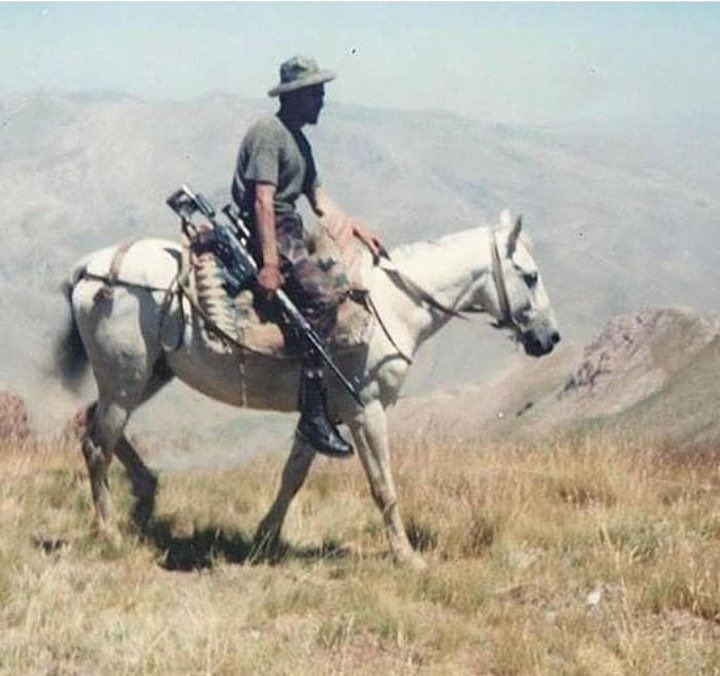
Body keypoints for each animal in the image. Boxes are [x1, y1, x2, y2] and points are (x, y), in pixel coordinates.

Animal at [56, 210, 564, 572]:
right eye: (530, 275)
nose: (550, 338)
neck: (394, 306)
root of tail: (90, 270)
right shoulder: (366, 411)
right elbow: (382, 484)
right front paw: (406, 556)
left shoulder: (322, 417)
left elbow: (293, 476)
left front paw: (263, 539)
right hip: (126, 379)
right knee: (96, 444)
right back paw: (110, 534)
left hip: (147, 376)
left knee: (91, 422)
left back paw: (145, 495)